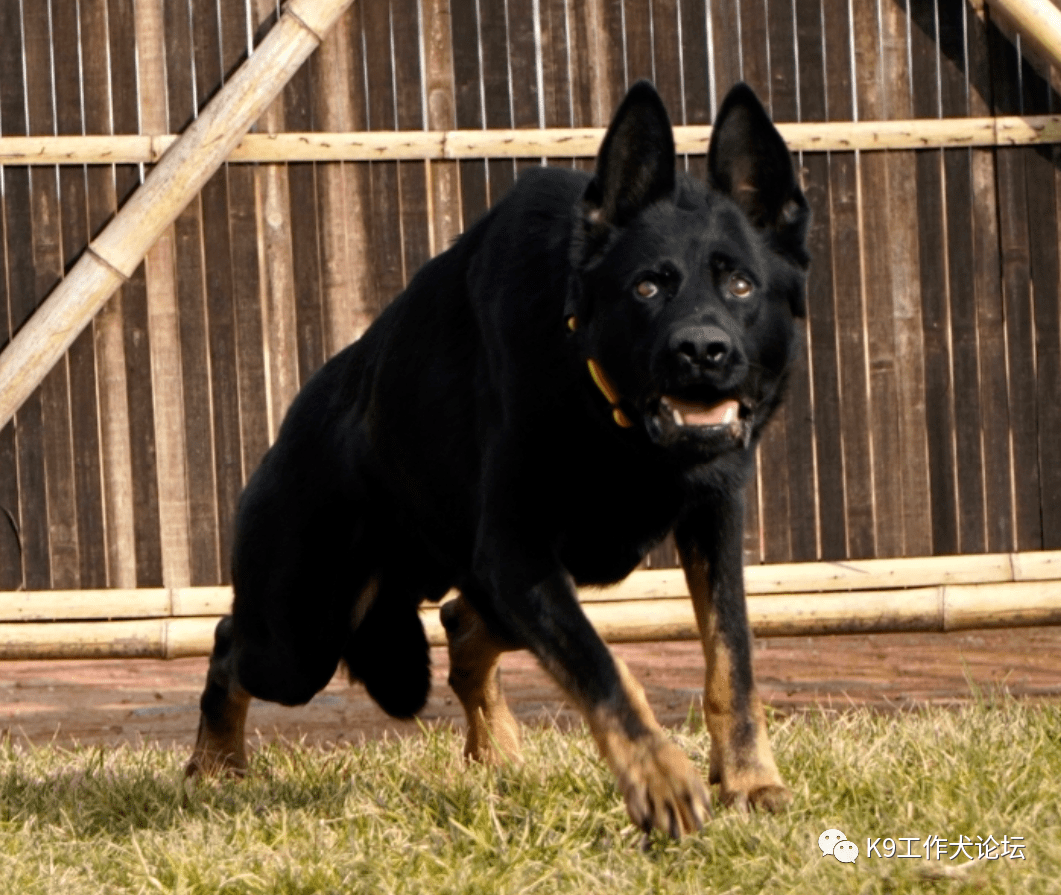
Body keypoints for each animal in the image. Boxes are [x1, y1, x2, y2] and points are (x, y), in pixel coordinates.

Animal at [186, 78, 806, 839]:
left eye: (740, 285)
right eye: (646, 287)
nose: (701, 351)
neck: (604, 412)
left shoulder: (711, 520)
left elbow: (731, 659)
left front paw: (750, 778)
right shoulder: (516, 551)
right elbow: (602, 664)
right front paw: (659, 775)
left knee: (461, 626)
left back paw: (497, 746)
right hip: (301, 638)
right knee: (231, 642)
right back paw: (215, 761)